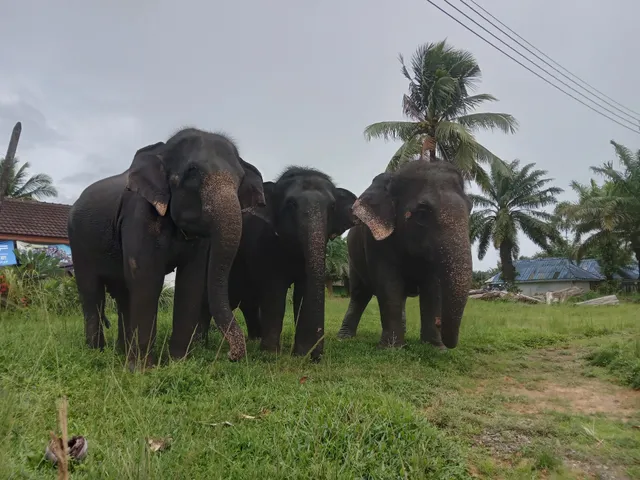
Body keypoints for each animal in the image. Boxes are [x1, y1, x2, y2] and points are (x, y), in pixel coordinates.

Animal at [67, 128, 265, 369]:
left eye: (240, 180)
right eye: (192, 173)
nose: (231, 355)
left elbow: (191, 280)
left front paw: (179, 364)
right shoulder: (139, 214)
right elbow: (146, 276)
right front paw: (142, 370)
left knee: (122, 293)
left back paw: (121, 352)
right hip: (78, 241)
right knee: (91, 292)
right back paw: (97, 352)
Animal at [217, 166, 357, 361]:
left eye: (333, 206)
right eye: (291, 204)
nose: (316, 356)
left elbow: (303, 291)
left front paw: (300, 354)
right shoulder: (264, 245)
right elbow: (275, 291)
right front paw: (270, 353)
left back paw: (254, 339)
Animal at [336, 160, 472, 349]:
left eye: (470, 208)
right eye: (422, 214)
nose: (440, 323)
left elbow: (433, 287)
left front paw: (435, 348)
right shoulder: (375, 240)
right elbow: (388, 283)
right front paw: (391, 349)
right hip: (353, 260)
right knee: (359, 294)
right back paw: (344, 337)